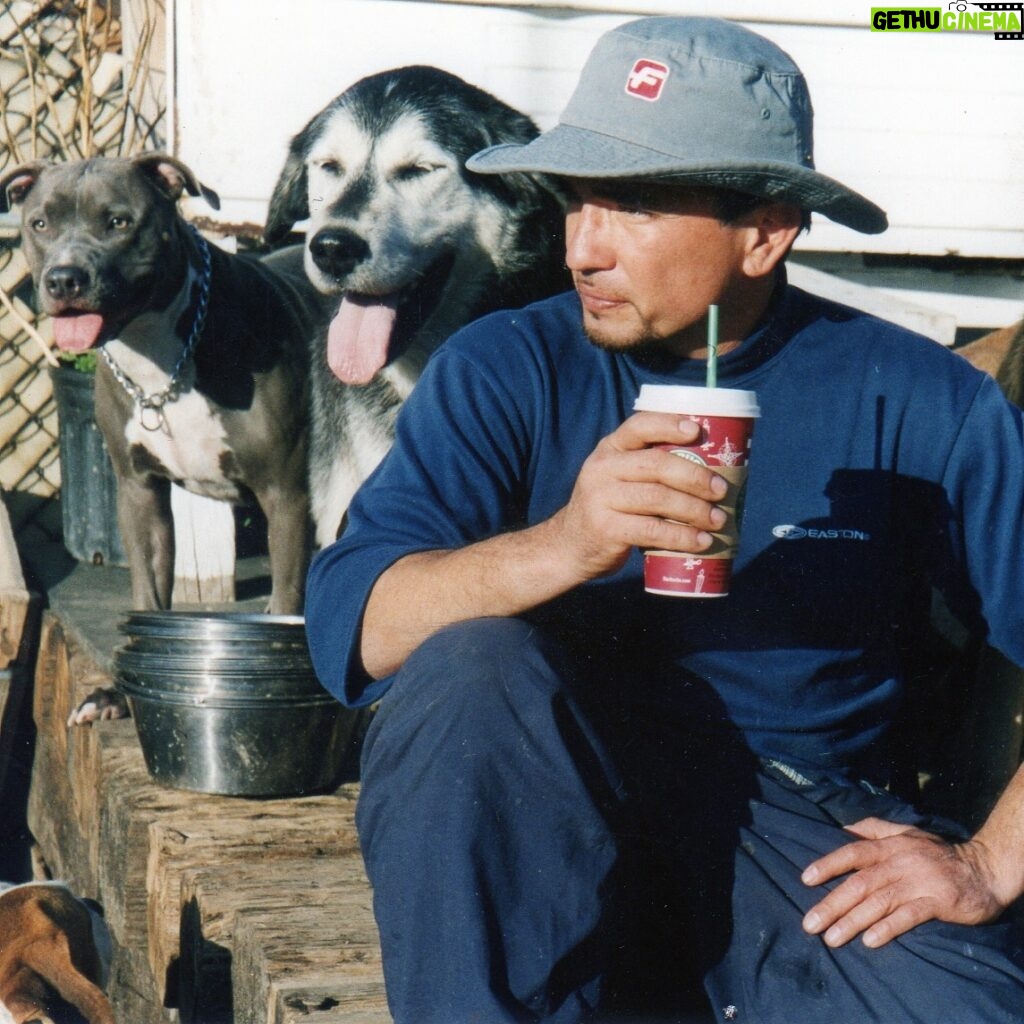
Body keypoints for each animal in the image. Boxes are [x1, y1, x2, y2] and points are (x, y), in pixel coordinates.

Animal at [1, 151, 323, 614]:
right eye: (40, 223)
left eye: (119, 222)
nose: (63, 279)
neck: (158, 358)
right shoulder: (140, 492)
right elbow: (149, 589)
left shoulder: (286, 496)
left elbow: (286, 600)